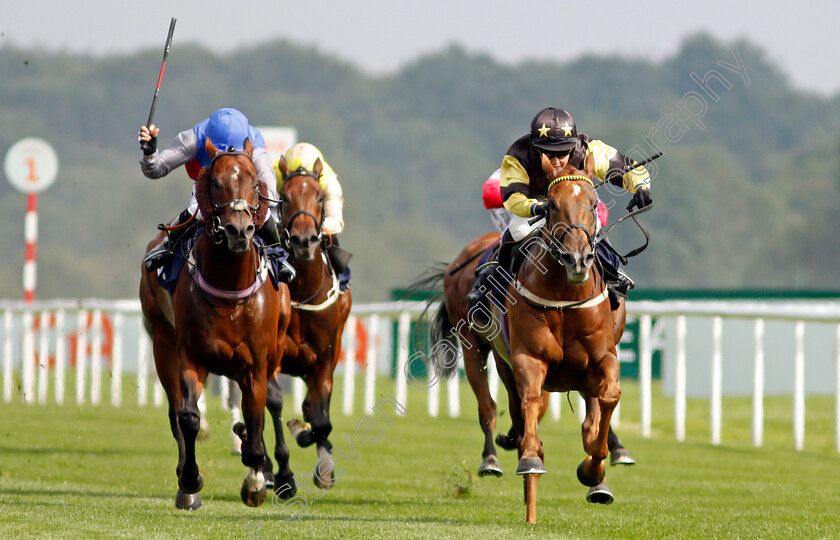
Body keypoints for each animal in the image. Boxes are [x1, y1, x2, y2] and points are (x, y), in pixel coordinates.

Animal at [139, 137, 290, 508]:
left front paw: (255, 480)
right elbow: (188, 417)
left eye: (254, 181)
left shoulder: (256, 365)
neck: (230, 291)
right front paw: (190, 480)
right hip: (162, 342)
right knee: (175, 411)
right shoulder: (191, 355)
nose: (238, 230)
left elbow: (256, 418)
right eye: (217, 183)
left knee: (271, 404)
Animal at [266, 155, 352, 498]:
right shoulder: (271, 358)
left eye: (319, 198)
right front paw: (282, 474)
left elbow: (321, 420)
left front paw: (324, 467)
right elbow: (273, 403)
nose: (304, 241)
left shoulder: (324, 362)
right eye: (285, 198)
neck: (303, 291)